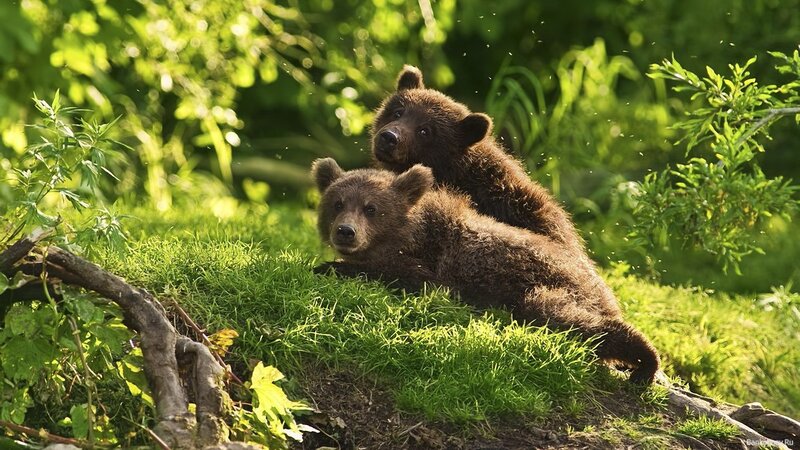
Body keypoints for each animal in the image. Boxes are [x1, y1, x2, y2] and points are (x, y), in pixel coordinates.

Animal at [311, 158, 661, 385]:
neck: (410, 234)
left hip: (552, 286)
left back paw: (644, 361)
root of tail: (603, 288)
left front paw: (328, 266)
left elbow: (405, 276)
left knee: (566, 317)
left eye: (371, 208)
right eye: (337, 203)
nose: (345, 232)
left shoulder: (434, 266)